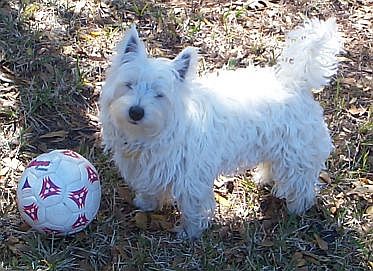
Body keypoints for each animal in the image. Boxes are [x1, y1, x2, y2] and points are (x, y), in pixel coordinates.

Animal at [99, 18, 340, 240]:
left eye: (159, 94)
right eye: (129, 85)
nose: (136, 112)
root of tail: (296, 82)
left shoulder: (191, 179)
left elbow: (192, 208)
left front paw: (189, 232)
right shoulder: (150, 169)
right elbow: (150, 189)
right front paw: (145, 203)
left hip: (296, 154)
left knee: (301, 183)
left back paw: (296, 208)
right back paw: (265, 179)